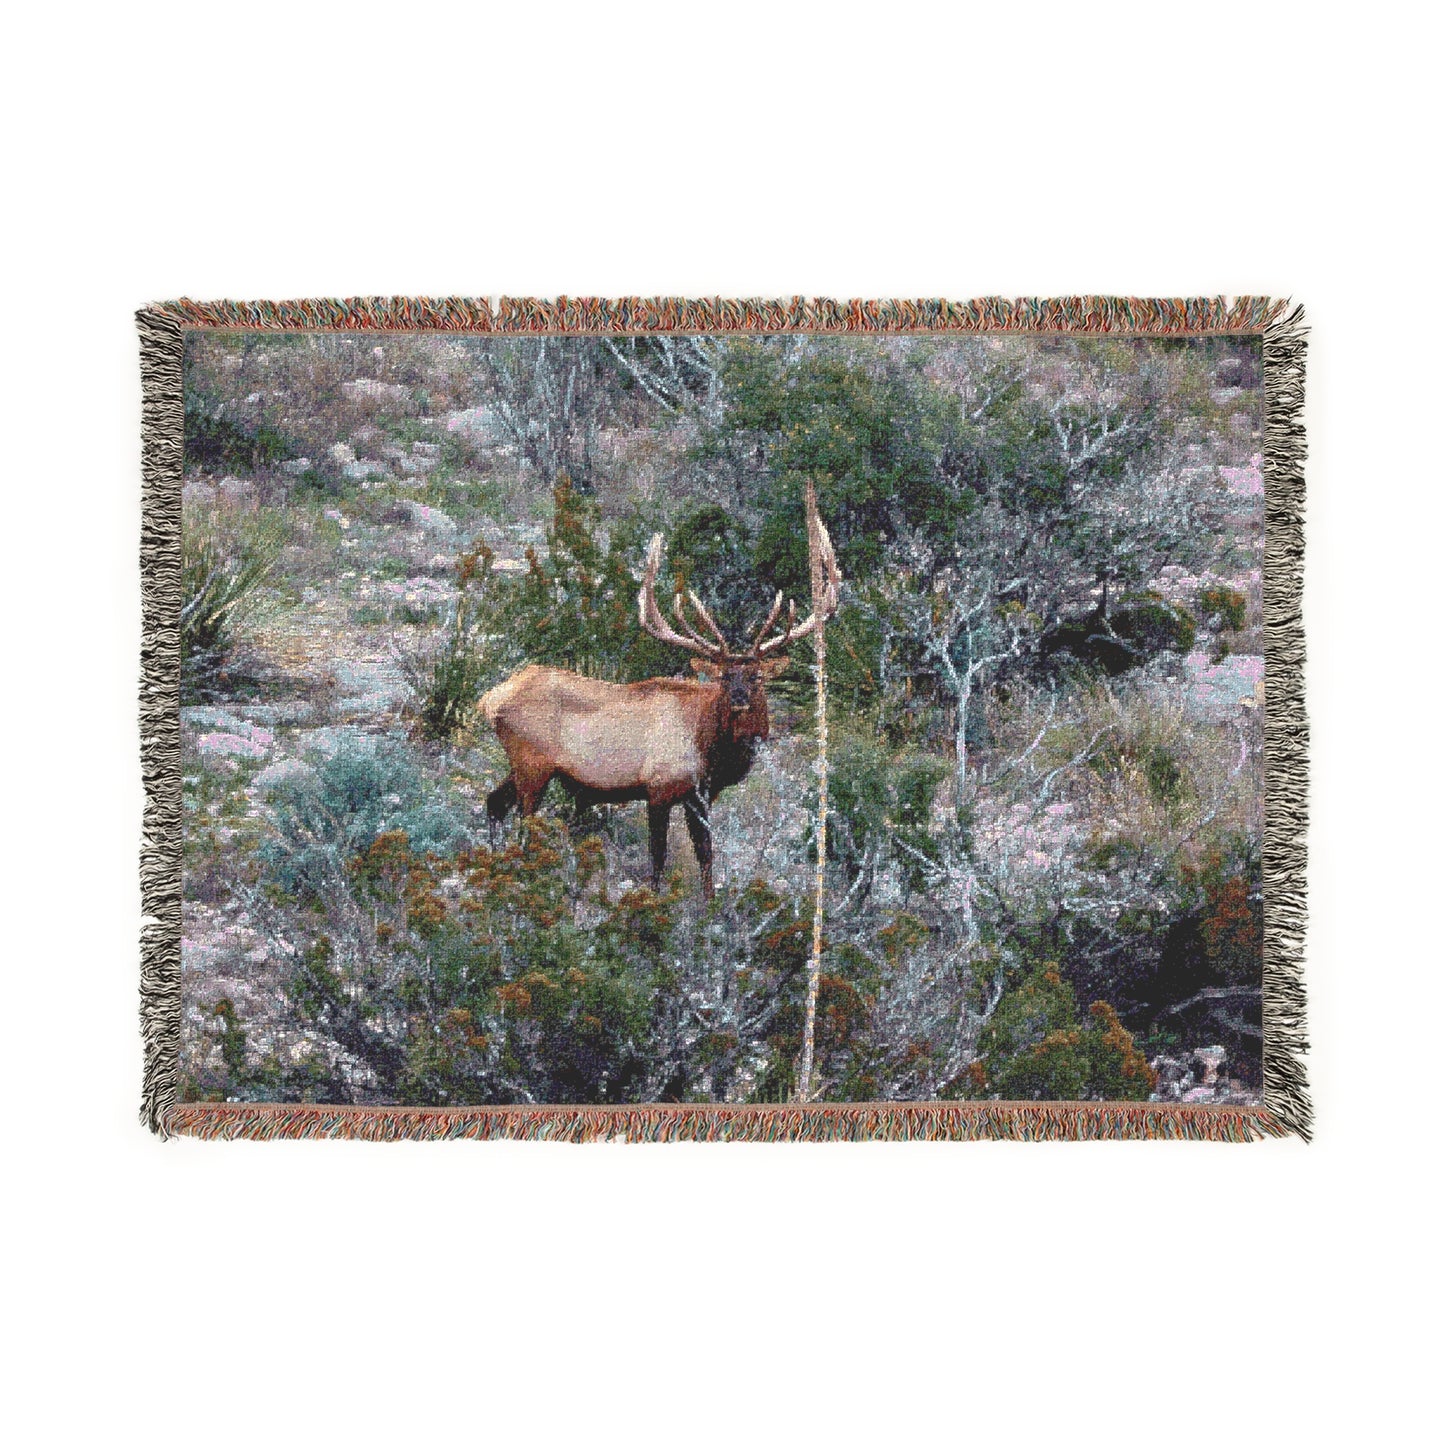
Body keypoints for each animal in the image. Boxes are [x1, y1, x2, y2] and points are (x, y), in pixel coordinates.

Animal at [480, 492, 840, 898]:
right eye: (724, 677)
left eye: (757, 676)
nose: (739, 700)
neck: (709, 748)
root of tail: (490, 699)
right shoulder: (659, 786)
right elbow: (658, 856)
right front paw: (654, 899)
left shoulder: (700, 795)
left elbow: (705, 854)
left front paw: (709, 902)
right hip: (533, 764)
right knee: (522, 822)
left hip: (522, 765)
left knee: (494, 803)